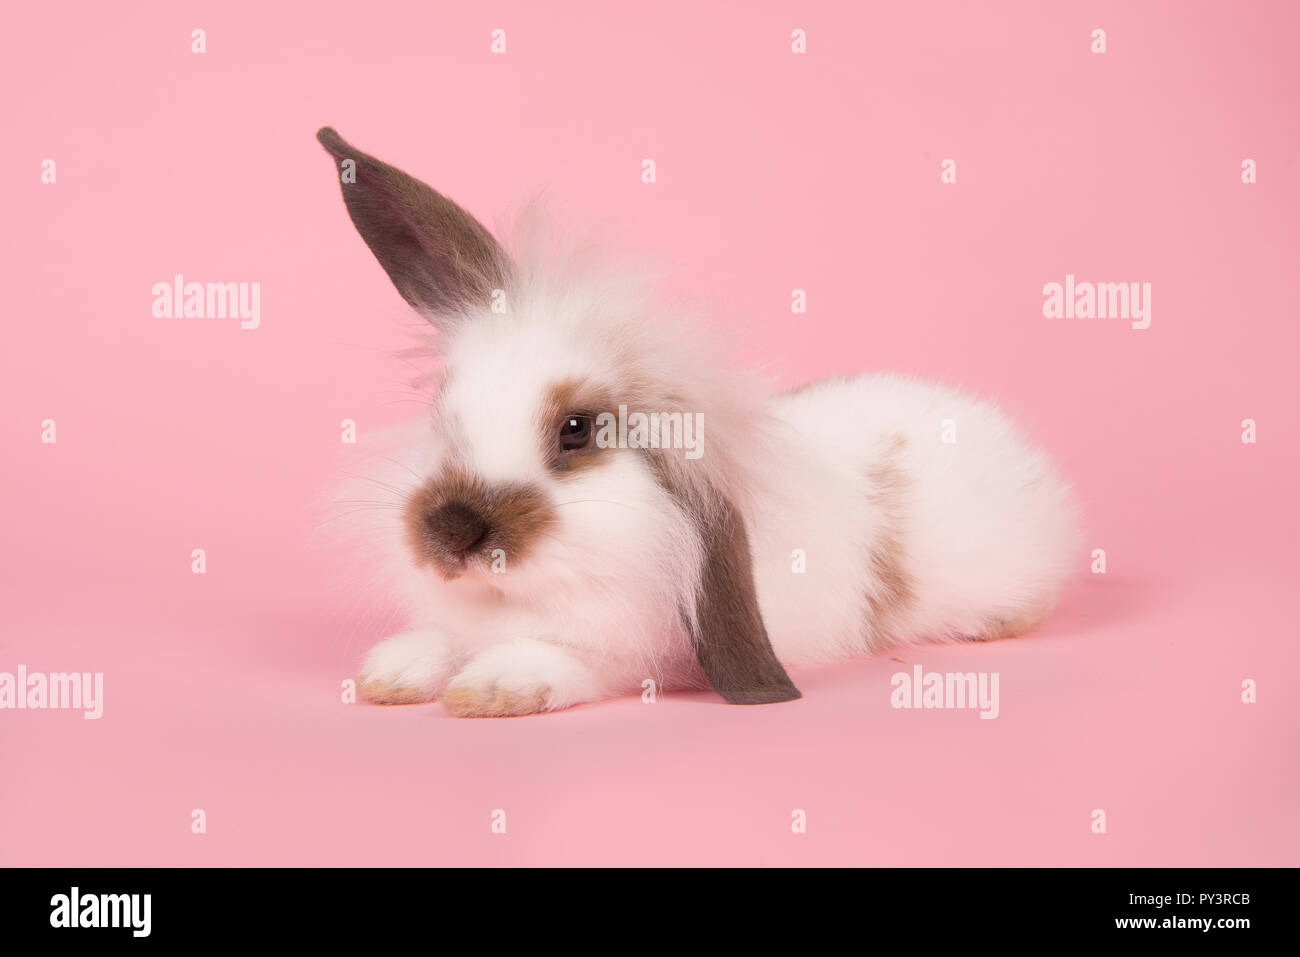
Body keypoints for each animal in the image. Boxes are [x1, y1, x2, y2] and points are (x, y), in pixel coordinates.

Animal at [316, 127, 1080, 717]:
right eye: (443, 409)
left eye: (577, 429)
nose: (451, 534)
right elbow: (442, 641)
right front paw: (392, 673)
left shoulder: (643, 652)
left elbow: (572, 660)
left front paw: (500, 686)